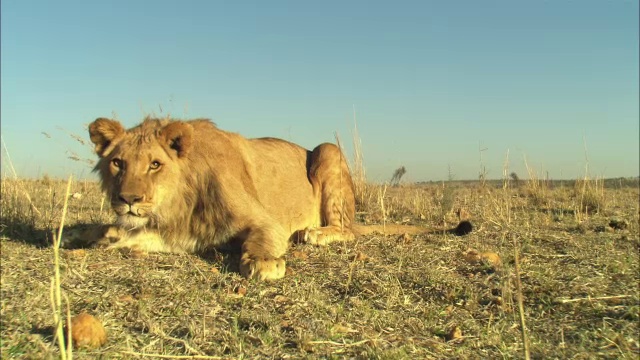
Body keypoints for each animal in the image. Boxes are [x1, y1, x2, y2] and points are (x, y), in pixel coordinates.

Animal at [63, 116, 470, 280]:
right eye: (117, 163)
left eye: (154, 165)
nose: (128, 199)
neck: (180, 201)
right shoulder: (181, 235)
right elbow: (126, 234)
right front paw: (89, 234)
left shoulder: (264, 220)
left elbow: (260, 240)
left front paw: (264, 263)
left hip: (327, 151)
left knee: (347, 229)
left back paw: (314, 233)